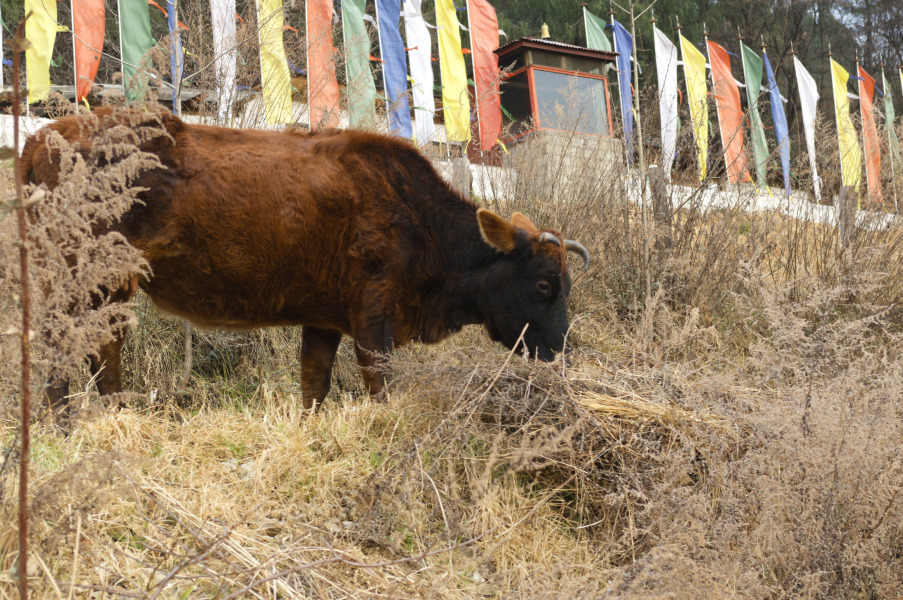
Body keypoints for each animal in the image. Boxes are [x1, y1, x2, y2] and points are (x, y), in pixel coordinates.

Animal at [21, 109, 590, 413]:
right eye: (544, 283)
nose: (562, 352)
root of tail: (45, 134)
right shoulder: (373, 314)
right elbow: (380, 382)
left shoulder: (324, 319)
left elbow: (314, 385)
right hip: (82, 277)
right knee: (71, 345)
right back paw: (66, 421)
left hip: (109, 284)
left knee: (102, 348)